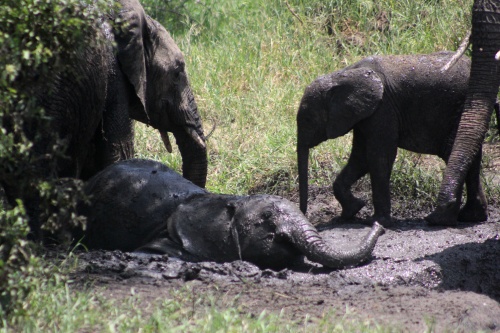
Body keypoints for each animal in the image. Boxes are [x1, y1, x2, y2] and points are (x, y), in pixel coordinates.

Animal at [296, 51, 488, 226]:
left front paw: (375, 221)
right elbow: (360, 158)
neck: (343, 74)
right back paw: (471, 217)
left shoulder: (383, 108)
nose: (304, 215)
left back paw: (440, 220)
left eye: (307, 120)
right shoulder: (365, 114)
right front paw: (353, 210)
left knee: (454, 152)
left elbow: (379, 157)